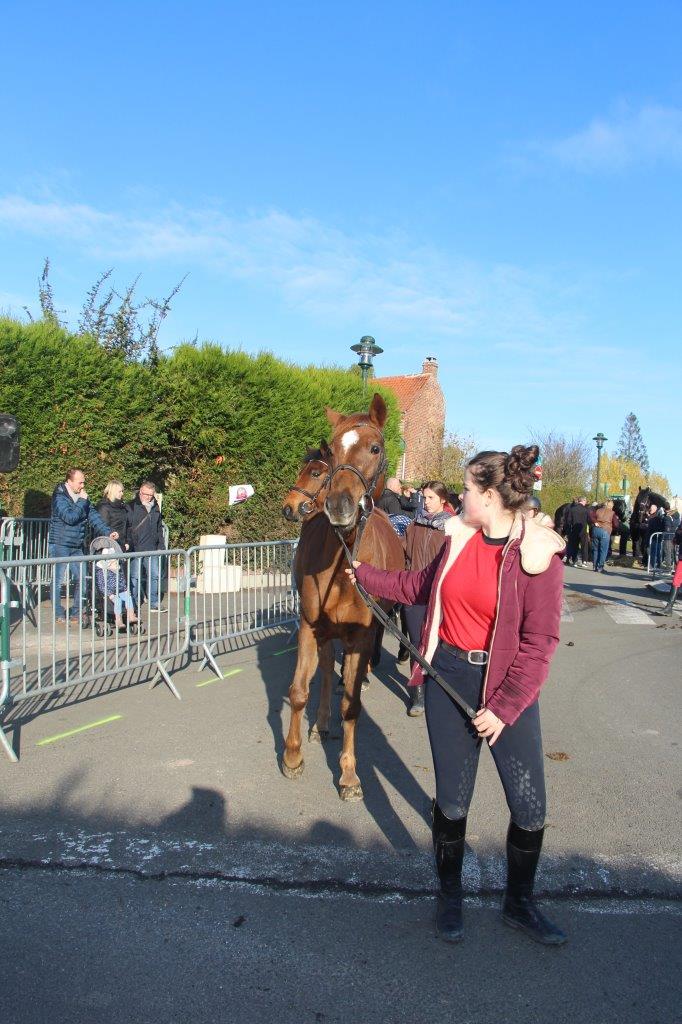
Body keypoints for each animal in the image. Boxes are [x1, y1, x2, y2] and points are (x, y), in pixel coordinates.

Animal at [280, 391, 403, 798]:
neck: (342, 564)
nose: (338, 506)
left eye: (375, 447)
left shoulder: (360, 636)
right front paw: (292, 757)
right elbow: (300, 691)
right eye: (331, 454)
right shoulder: (309, 625)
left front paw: (349, 774)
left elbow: (352, 706)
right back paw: (320, 724)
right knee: (322, 674)